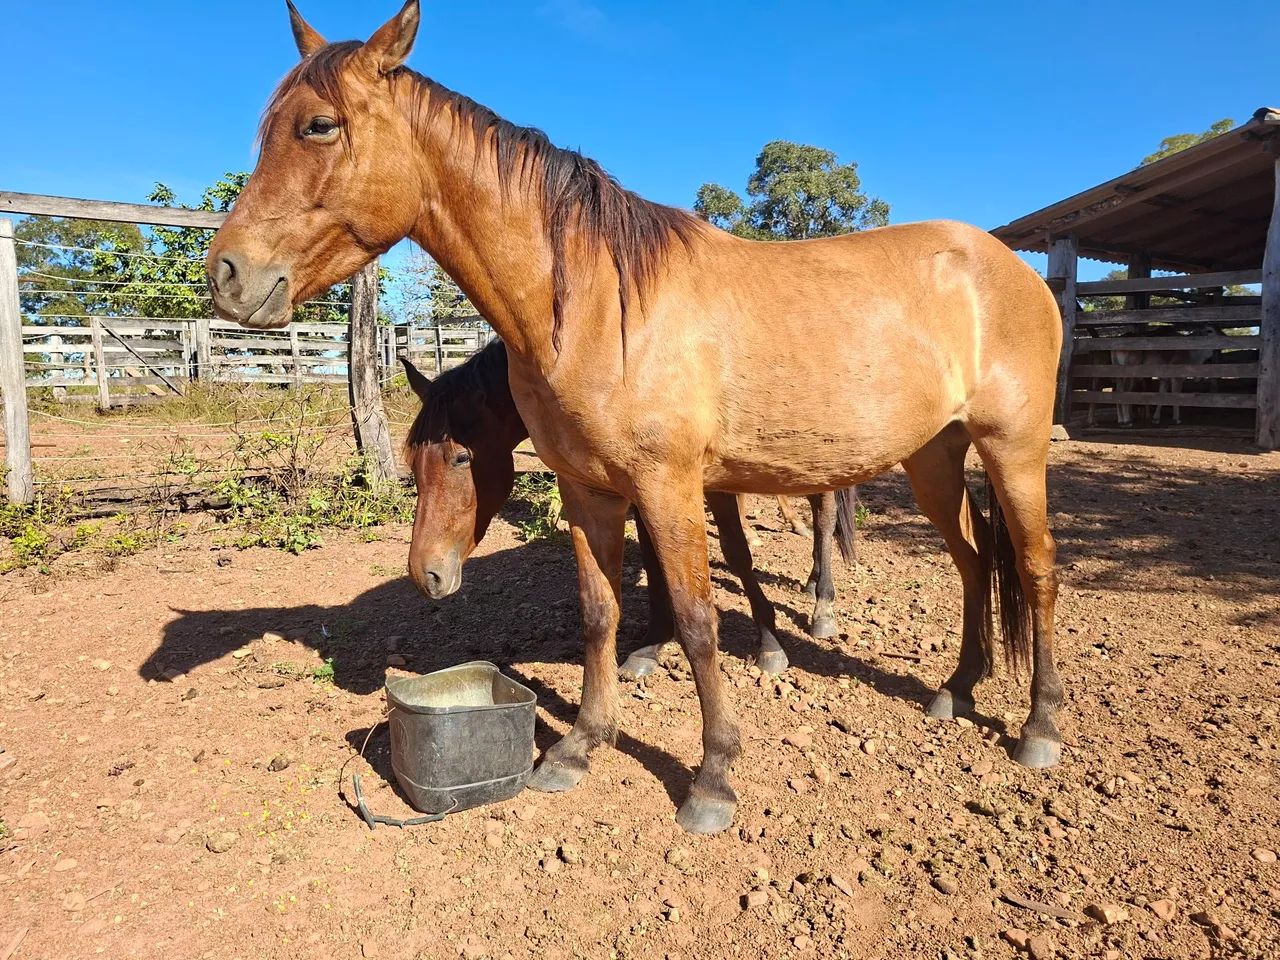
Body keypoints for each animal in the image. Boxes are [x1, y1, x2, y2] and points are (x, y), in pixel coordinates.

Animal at [397, 341, 857, 680]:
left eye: (461, 458)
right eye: (412, 463)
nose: (425, 574)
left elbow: (737, 552)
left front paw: (770, 643)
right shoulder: (645, 487)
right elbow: (656, 564)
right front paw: (651, 646)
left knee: (824, 515)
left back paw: (823, 605)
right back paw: (811, 584)